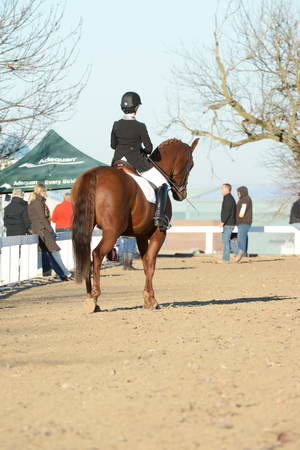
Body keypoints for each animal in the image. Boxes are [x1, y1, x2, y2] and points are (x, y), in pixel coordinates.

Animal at [71, 138, 199, 312]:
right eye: (191, 164)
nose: (181, 194)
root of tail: (94, 174)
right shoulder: (159, 233)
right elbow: (150, 263)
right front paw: (151, 300)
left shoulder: (141, 235)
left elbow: (145, 263)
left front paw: (148, 299)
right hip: (112, 232)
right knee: (96, 255)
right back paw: (93, 298)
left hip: (87, 228)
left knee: (85, 256)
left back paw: (90, 299)